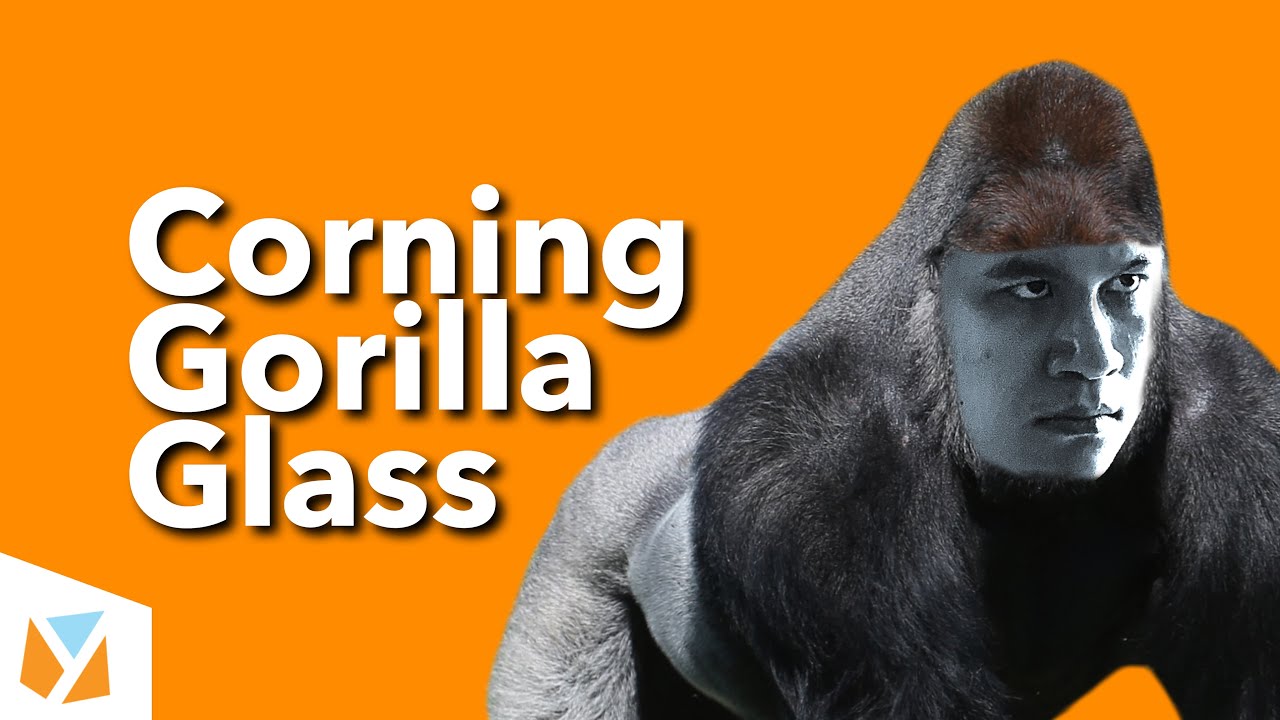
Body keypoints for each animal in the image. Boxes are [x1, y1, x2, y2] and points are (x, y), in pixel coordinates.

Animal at [489, 62, 1280, 719]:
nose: (1094, 365)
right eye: (1032, 287)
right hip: (583, 541)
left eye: (1124, 284)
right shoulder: (815, 456)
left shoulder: (1248, 421)